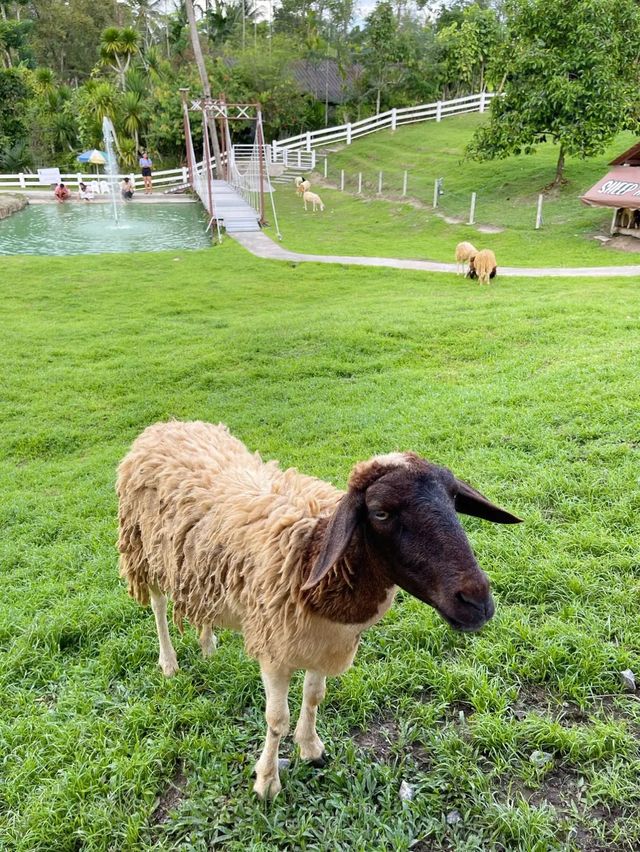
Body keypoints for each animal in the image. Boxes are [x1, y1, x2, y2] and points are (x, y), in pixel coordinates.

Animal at [119, 422, 520, 804]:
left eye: (453, 498)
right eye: (380, 512)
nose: (477, 602)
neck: (309, 556)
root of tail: (165, 425)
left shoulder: (323, 642)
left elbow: (313, 697)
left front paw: (310, 748)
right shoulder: (274, 650)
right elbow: (276, 720)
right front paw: (267, 781)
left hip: (196, 570)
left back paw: (207, 645)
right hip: (143, 550)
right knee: (157, 606)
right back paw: (169, 663)